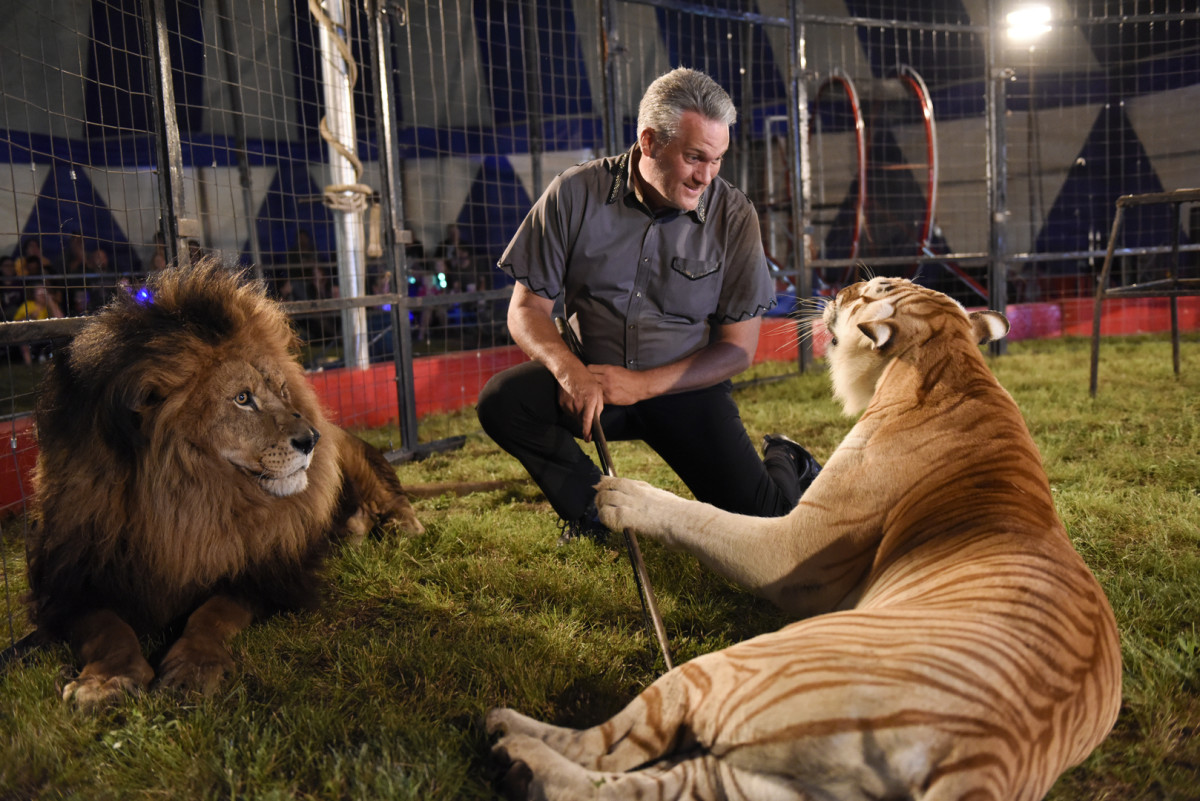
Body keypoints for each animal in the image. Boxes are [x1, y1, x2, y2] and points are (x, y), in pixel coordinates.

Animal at [24, 257, 427, 705]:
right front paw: (106, 681)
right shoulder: (73, 586)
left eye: (282, 390)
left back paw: (401, 527)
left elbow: (212, 612)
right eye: (242, 399)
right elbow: (107, 629)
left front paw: (194, 667)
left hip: (354, 456)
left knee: (390, 495)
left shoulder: (266, 573)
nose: (311, 439)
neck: (185, 504)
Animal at [482, 276, 1118, 801]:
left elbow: (708, 518)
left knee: (612, 742)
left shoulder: (792, 551)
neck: (949, 361)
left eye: (872, 289)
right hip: (770, 780)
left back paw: (508, 732)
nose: (840, 288)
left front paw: (626, 497)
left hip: (729, 668)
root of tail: (981, 760)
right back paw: (523, 763)